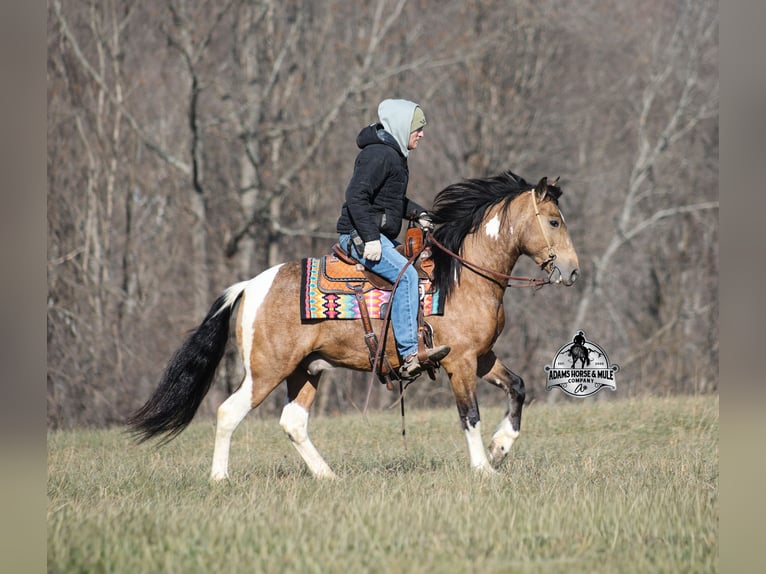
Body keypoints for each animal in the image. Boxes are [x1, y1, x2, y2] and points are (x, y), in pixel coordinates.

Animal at [128, 171, 580, 479]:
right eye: (554, 221)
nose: (573, 270)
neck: (462, 275)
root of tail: (250, 286)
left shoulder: (483, 357)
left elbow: (517, 387)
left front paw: (501, 448)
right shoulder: (461, 362)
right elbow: (469, 415)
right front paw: (484, 468)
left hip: (305, 370)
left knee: (292, 422)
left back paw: (328, 476)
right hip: (266, 371)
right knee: (228, 412)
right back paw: (220, 478)